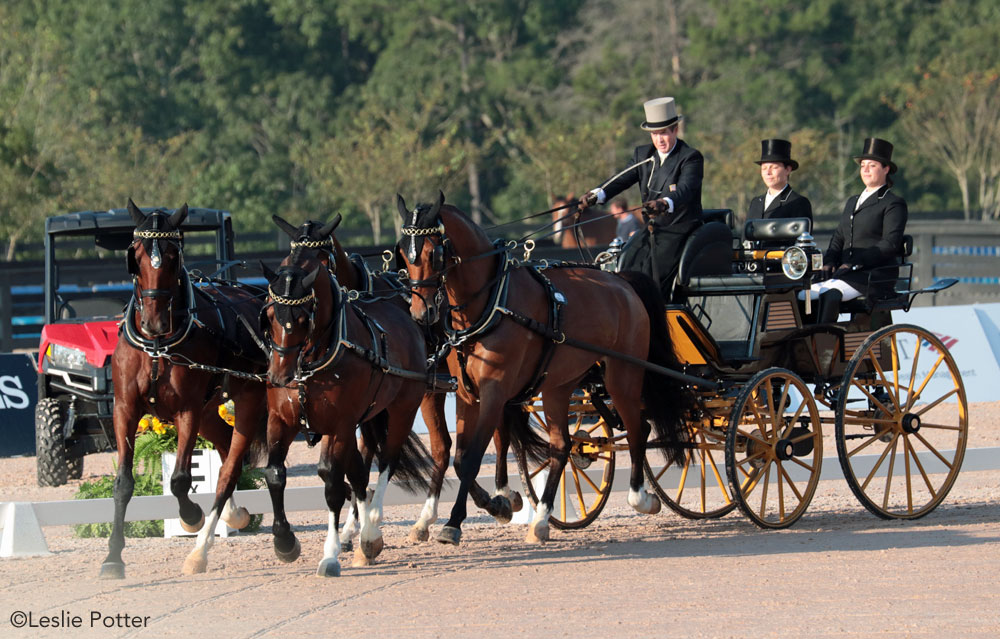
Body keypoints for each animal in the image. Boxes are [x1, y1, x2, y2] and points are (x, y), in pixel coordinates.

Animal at [99, 200, 268, 580]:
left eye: (174, 255)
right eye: (136, 254)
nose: (154, 322)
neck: (157, 346)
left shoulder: (186, 410)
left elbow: (179, 479)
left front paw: (191, 517)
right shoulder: (125, 409)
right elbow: (123, 483)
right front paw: (113, 558)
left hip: (246, 400)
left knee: (232, 463)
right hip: (209, 411)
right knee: (224, 445)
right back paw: (233, 515)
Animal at [260, 226, 432, 580]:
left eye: (303, 318)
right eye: (270, 314)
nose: (279, 376)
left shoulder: (339, 425)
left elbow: (331, 483)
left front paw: (330, 554)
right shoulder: (280, 420)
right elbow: (275, 474)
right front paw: (284, 541)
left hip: (403, 409)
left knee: (386, 462)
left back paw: (371, 533)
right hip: (367, 418)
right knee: (360, 472)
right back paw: (364, 536)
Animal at [270, 214, 528, 544]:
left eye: (319, 257)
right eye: (291, 253)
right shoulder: (367, 405)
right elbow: (363, 457)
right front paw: (354, 523)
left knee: (495, 434)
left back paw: (502, 495)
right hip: (433, 393)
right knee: (443, 448)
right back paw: (428, 518)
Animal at [394, 191, 692, 544]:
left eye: (435, 253)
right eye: (403, 254)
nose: (420, 312)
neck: (492, 302)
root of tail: (621, 281)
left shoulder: (494, 391)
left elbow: (471, 457)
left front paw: (455, 522)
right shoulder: (467, 393)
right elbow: (458, 456)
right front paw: (492, 505)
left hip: (623, 375)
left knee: (637, 429)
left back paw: (640, 497)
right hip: (559, 385)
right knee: (562, 446)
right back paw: (540, 520)